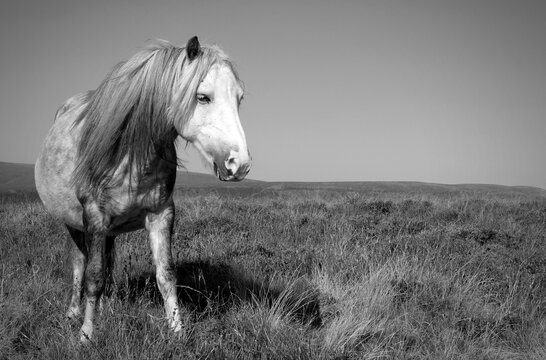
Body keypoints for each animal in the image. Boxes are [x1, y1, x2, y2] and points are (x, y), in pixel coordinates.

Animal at [35, 36, 252, 344]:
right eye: (203, 97)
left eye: (239, 98)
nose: (239, 164)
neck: (129, 154)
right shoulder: (94, 216)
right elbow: (93, 276)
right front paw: (86, 335)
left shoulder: (161, 213)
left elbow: (166, 275)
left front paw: (177, 331)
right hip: (74, 224)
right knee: (79, 264)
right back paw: (73, 313)